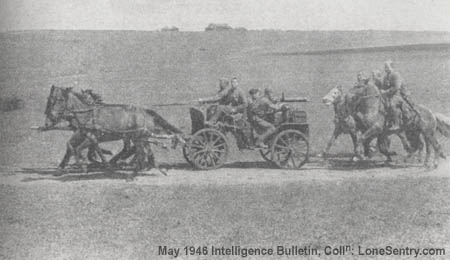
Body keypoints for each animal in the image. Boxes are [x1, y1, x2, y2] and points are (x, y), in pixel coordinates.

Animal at [44, 86, 185, 176]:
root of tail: (146, 111)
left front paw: (85, 165)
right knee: (140, 150)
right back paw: (145, 166)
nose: (50, 116)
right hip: (135, 137)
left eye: (60, 99)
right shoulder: (85, 135)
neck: (88, 114)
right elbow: (73, 147)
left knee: (138, 150)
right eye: (50, 100)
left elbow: (80, 149)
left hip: (135, 136)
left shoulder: (91, 136)